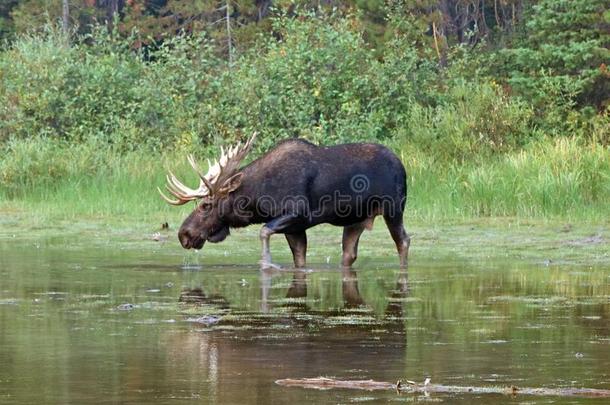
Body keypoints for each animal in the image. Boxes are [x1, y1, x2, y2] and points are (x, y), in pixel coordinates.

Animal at [159, 133, 410, 270]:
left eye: (206, 205)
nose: (184, 234)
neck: (257, 198)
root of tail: (402, 166)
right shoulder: (295, 228)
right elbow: (299, 259)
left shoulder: (298, 214)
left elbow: (263, 231)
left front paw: (267, 264)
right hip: (355, 220)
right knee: (349, 254)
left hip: (393, 208)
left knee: (403, 241)